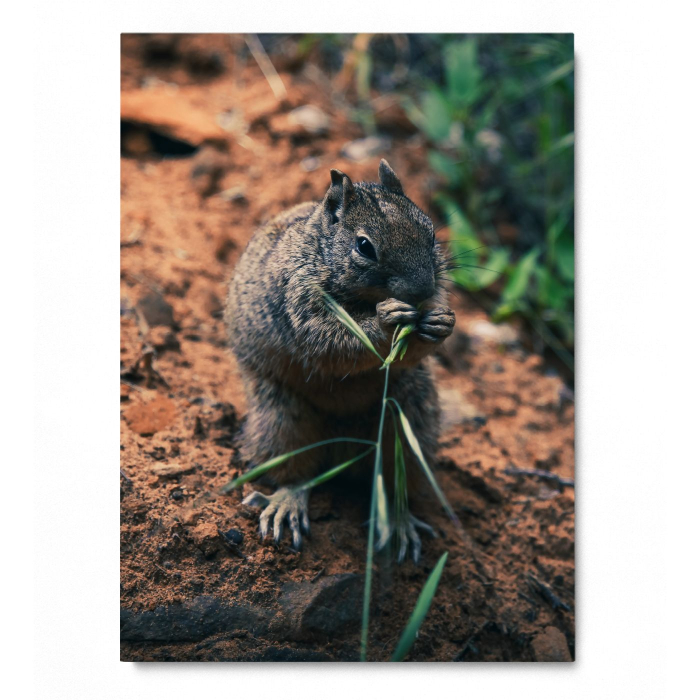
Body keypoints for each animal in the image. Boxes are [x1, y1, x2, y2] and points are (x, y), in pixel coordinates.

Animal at [224, 159, 455, 562]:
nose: (422, 290)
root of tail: (343, 446)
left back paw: (399, 522)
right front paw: (386, 320)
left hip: (410, 421)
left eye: (430, 232)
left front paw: (440, 322)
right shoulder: (301, 303)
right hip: (281, 422)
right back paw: (287, 503)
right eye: (364, 247)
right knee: (297, 474)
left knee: (392, 479)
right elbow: (335, 343)